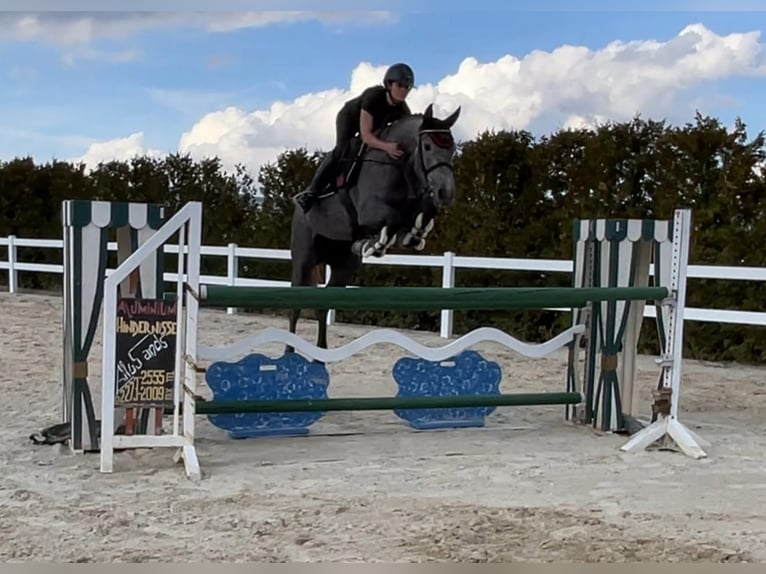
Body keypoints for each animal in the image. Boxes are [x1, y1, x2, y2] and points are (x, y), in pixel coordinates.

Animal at [287, 102, 461, 351]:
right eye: (427, 147)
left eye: (452, 149)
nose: (445, 193)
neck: (399, 165)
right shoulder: (369, 211)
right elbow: (391, 219)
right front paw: (375, 243)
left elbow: (419, 217)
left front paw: (411, 235)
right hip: (304, 259)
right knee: (295, 307)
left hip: (343, 266)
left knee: (323, 306)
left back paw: (321, 353)